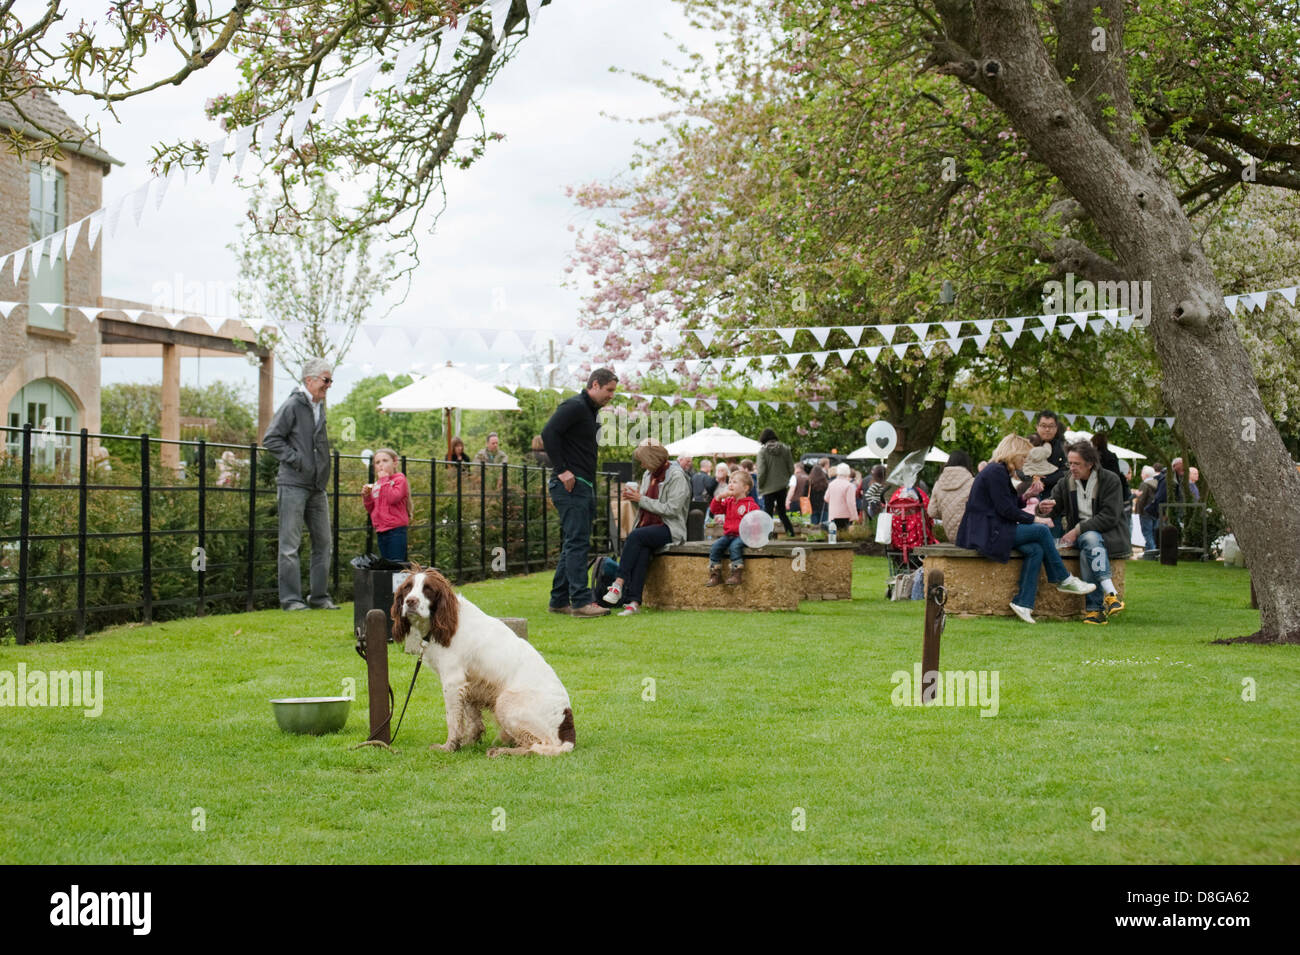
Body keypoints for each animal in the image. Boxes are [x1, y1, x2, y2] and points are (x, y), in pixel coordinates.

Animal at [387, 563, 577, 758]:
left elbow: (452, 719)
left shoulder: (453, 680)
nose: (410, 601)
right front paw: (469, 742)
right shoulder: (471, 681)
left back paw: (502, 751)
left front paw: (449, 747)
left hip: (505, 701)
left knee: (539, 746)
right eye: (408, 587)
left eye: (428, 589)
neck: (447, 620)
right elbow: (472, 718)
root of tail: (568, 734)